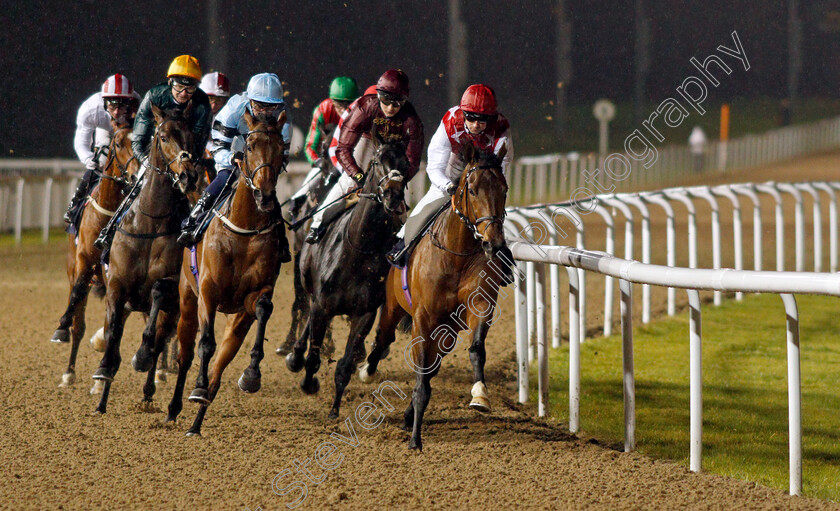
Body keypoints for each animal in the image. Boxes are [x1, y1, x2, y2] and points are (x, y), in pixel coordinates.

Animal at [50, 120, 137, 390]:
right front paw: (62, 329)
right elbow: (78, 295)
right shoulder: (84, 262)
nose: (135, 175)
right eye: (117, 143)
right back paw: (69, 371)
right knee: (78, 317)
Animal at [90, 106, 200, 414]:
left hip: (174, 310)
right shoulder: (117, 285)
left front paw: (141, 356)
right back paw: (102, 398)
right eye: (162, 136)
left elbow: (158, 295)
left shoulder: (169, 285)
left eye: (192, 136)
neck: (150, 221)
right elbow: (113, 337)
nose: (188, 175)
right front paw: (104, 370)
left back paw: (148, 384)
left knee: (161, 337)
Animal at [166, 109, 290, 436]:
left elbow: (263, 309)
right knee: (186, 355)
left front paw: (251, 375)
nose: (264, 195)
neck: (244, 230)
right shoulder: (208, 292)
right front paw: (195, 389)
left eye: (281, 148)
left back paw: (196, 424)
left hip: (236, 322)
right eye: (250, 146)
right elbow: (205, 343)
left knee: (219, 370)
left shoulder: (254, 296)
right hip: (186, 302)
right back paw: (175, 408)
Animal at [286, 141, 410, 420]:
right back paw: (295, 356)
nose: (393, 195)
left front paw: (335, 408)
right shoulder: (323, 305)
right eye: (377, 161)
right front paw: (308, 383)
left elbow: (344, 365)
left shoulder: (364, 312)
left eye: (406, 163)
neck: (359, 251)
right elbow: (313, 357)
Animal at [358, 145, 508, 452]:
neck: (456, 255)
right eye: (472, 190)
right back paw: (367, 370)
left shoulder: (479, 304)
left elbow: (476, 349)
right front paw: (415, 440)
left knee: (433, 364)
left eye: (505, 189)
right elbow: (420, 378)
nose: (494, 243)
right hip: (394, 307)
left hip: (447, 330)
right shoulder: (423, 319)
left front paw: (480, 395)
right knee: (383, 339)